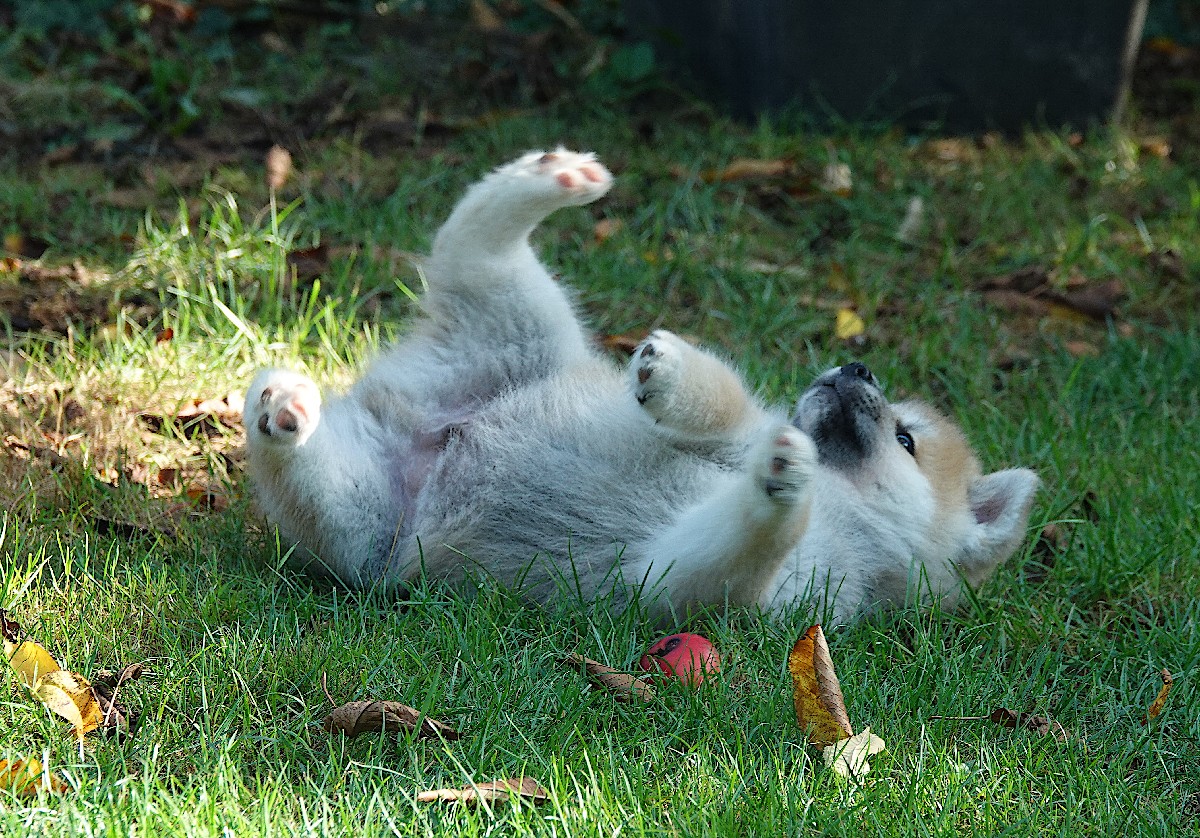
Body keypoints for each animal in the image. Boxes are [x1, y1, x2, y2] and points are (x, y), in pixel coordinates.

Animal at [243, 149, 1039, 624]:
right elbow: (728, 404)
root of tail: (413, 423)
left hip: (362, 528)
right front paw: (676, 375)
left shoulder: (707, 586)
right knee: (478, 243)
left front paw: (783, 485)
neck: (849, 510)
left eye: (905, 440)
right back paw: (549, 179)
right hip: (526, 331)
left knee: (309, 480)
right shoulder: (748, 426)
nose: (856, 369)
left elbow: (734, 556)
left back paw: (284, 413)